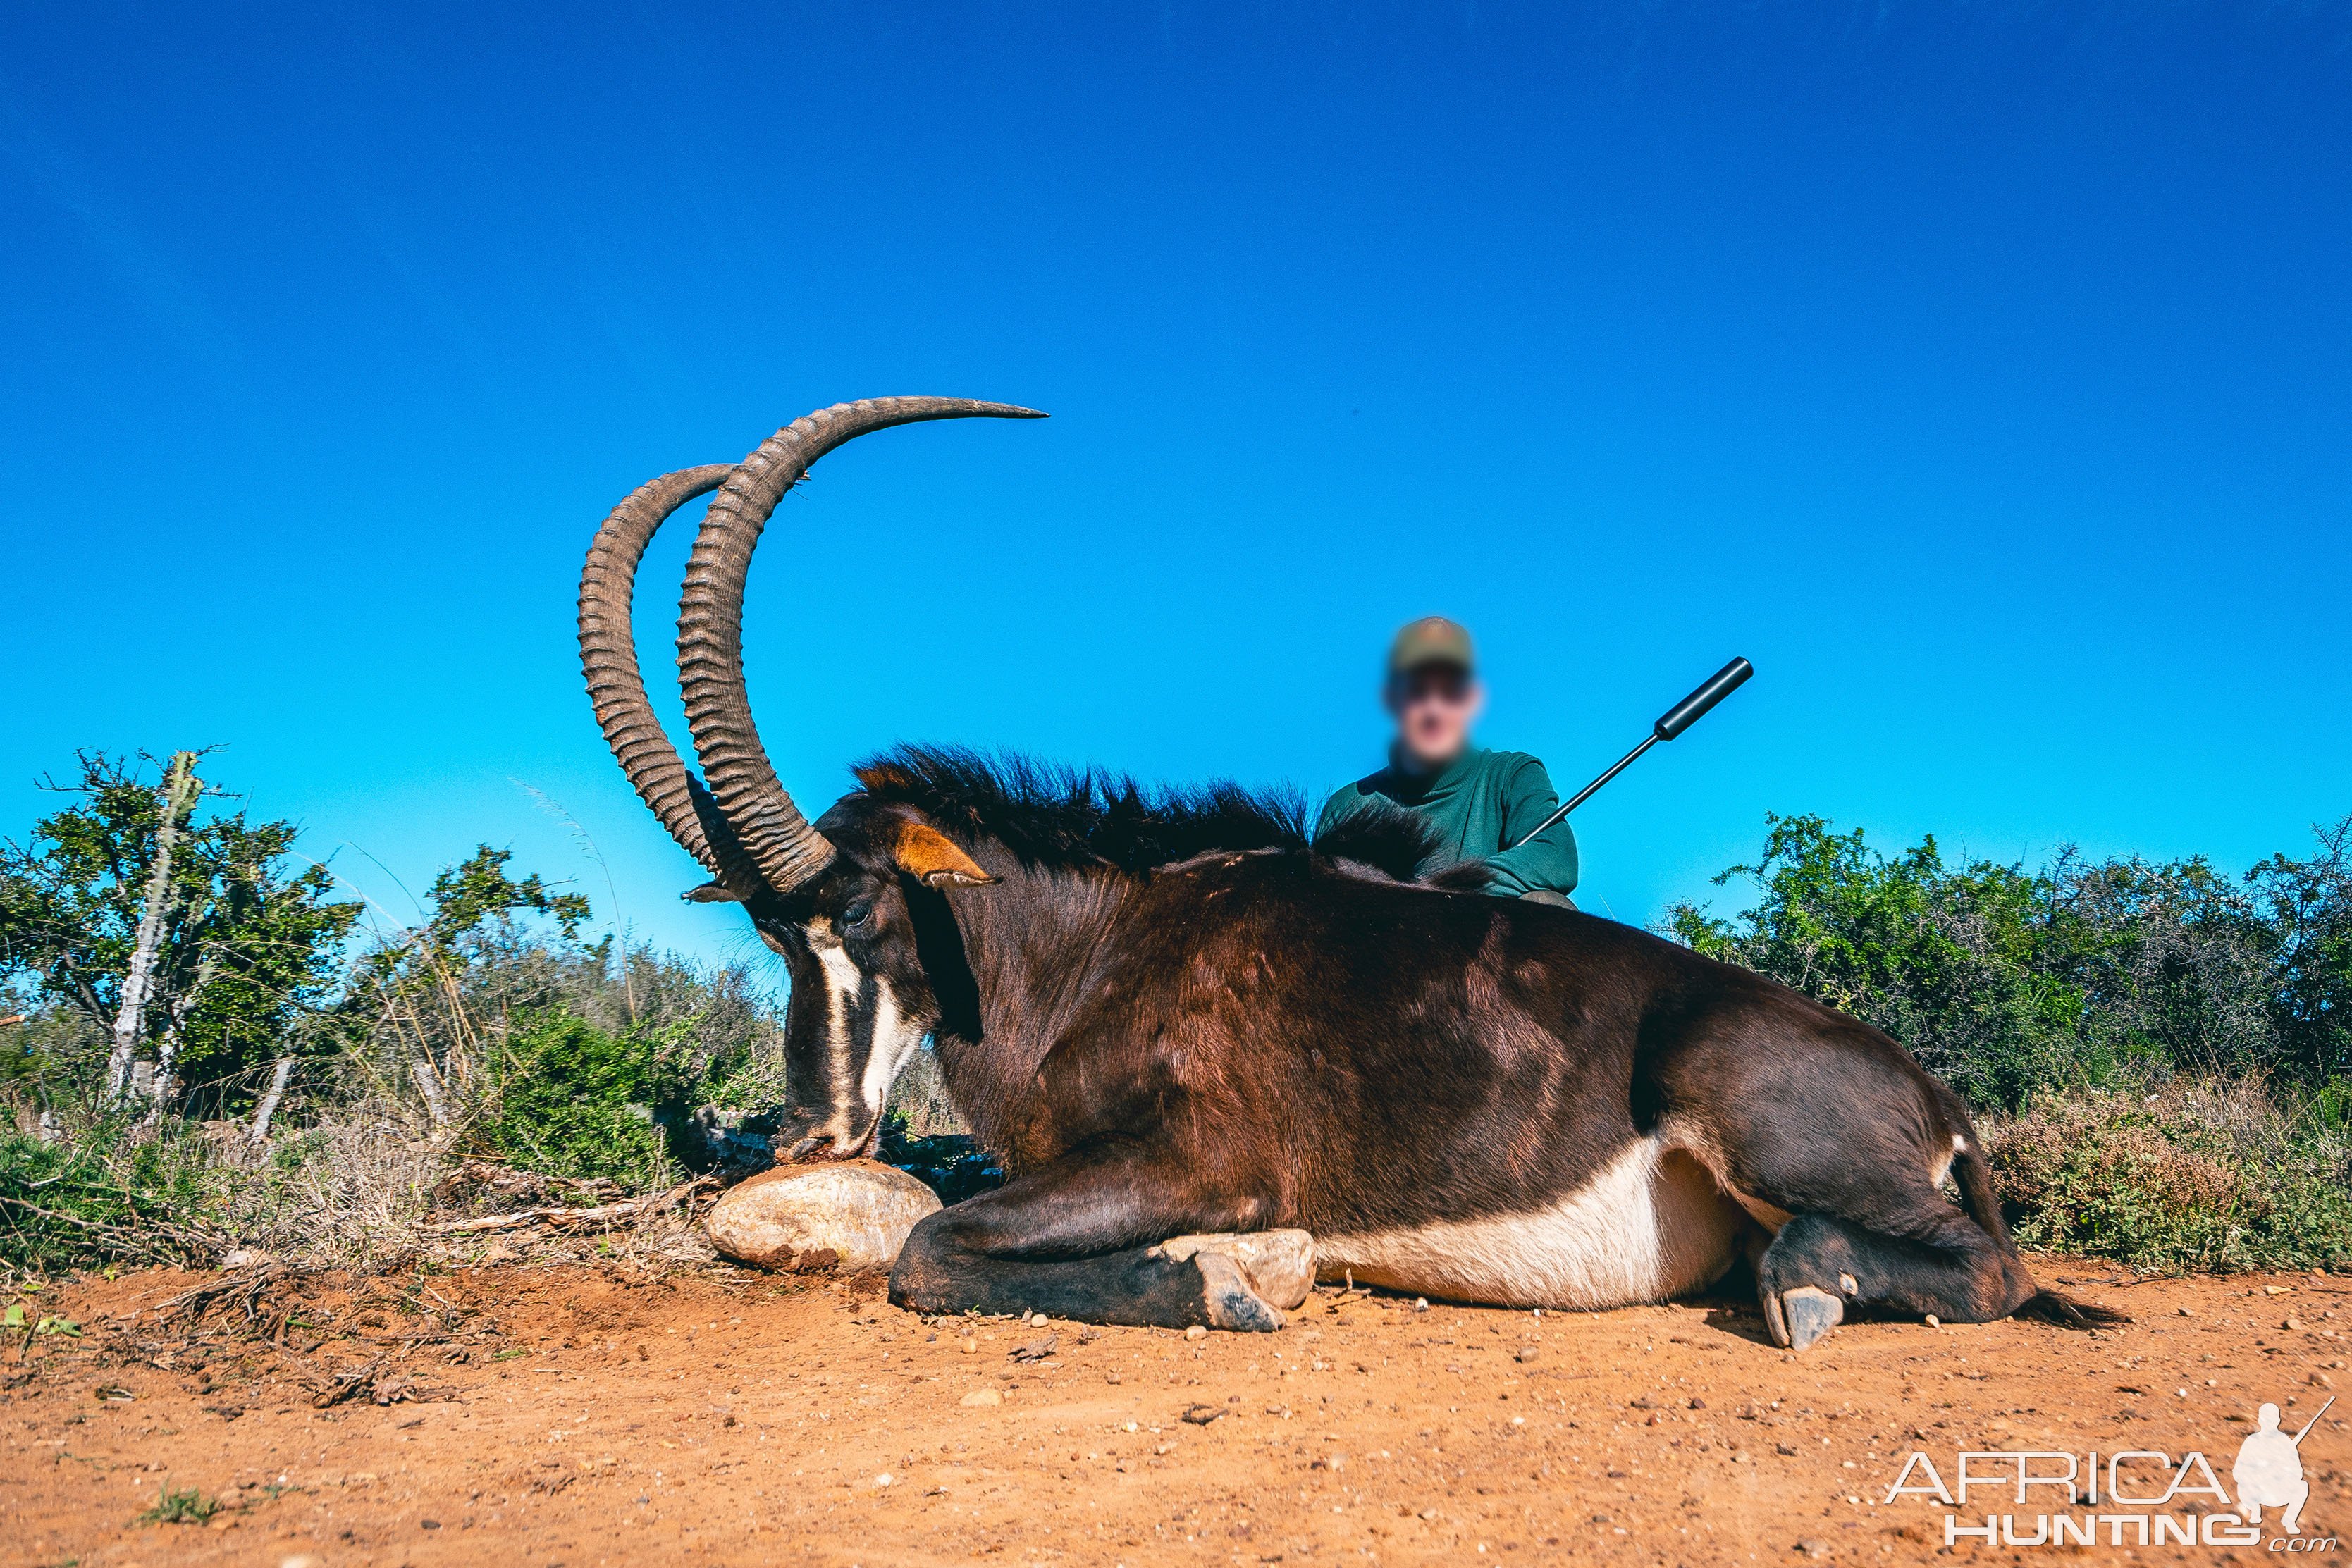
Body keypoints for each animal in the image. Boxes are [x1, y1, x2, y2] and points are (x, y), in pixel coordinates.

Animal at [583, 402, 2117, 1354]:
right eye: (768, 934)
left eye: (859, 911)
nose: (808, 1136)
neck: (1098, 946)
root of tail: (1936, 1102)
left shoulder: (1207, 1158)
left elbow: (932, 1252)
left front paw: (1219, 1279)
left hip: (1749, 1108)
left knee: (1982, 1263)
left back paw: (1804, 1285)